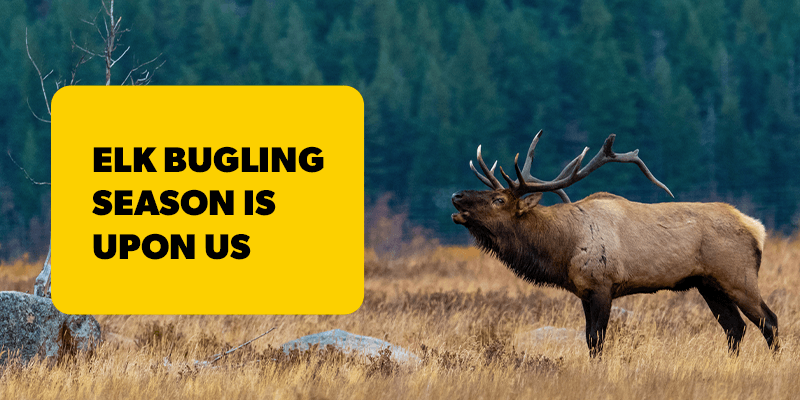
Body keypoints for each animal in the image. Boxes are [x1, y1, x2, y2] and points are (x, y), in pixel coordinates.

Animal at [451, 130, 778, 356]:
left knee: (769, 321)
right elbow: (587, 339)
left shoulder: (603, 285)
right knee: (735, 328)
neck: (564, 248)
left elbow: (597, 340)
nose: (456, 196)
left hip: (738, 277)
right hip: (709, 284)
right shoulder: (583, 292)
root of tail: (757, 228)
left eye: (499, 200)